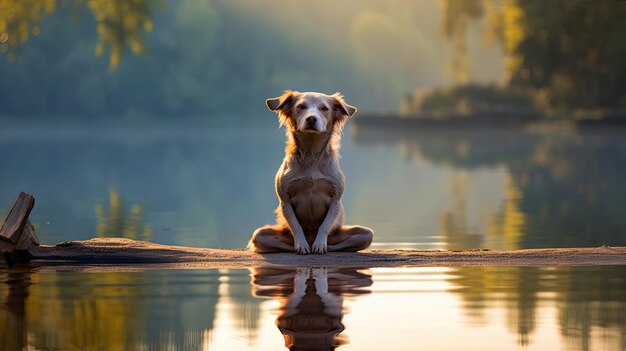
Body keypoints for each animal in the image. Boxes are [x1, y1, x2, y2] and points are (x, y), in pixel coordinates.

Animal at [247, 91, 376, 256]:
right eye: (301, 106)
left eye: (324, 108)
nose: (311, 119)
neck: (311, 155)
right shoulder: (285, 200)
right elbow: (296, 226)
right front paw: (301, 245)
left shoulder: (335, 199)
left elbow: (325, 225)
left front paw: (320, 244)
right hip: (261, 234)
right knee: (268, 238)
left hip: (361, 234)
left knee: (349, 241)